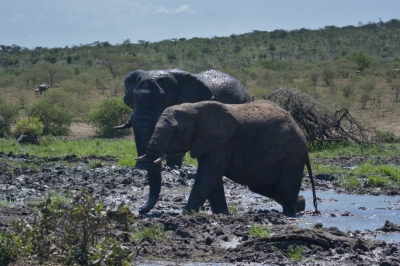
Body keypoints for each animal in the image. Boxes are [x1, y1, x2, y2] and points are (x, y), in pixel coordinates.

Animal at [136, 100, 318, 216]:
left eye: (175, 132)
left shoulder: (222, 142)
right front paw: (221, 214)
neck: (195, 108)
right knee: (261, 187)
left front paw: (186, 214)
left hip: (291, 156)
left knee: (286, 187)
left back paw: (290, 213)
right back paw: (301, 205)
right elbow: (212, 179)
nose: (140, 211)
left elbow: (208, 175)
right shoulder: (209, 142)